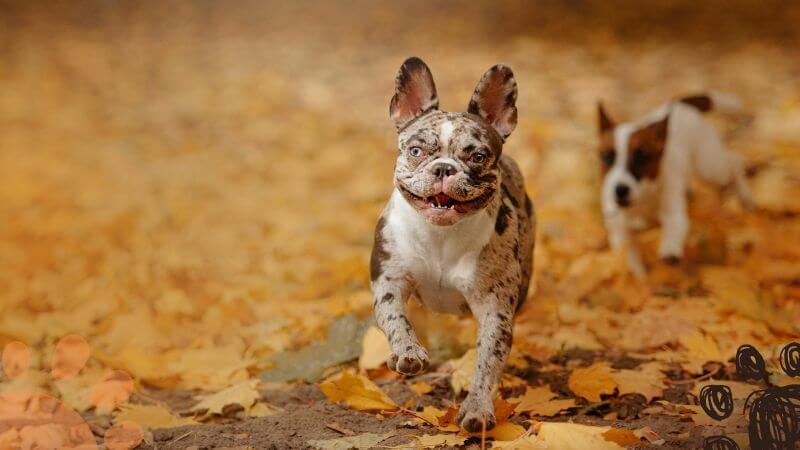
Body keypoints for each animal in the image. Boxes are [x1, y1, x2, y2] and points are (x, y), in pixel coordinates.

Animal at [370, 58, 536, 430]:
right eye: (416, 151)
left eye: (477, 157)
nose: (444, 168)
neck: (441, 236)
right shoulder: (389, 279)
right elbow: (394, 316)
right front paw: (408, 351)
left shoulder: (494, 307)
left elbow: (487, 361)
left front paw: (477, 407)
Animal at [596, 92, 752, 276]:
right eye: (607, 157)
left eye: (643, 157)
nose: (620, 190)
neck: (643, 200)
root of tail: (682, 104)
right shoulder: (621, 235)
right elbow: (630, 261)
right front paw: (640, 279)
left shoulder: (673, 213)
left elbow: (674, 227)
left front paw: (669, 251)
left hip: (711, 167)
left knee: (734, 162)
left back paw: (746, 196)